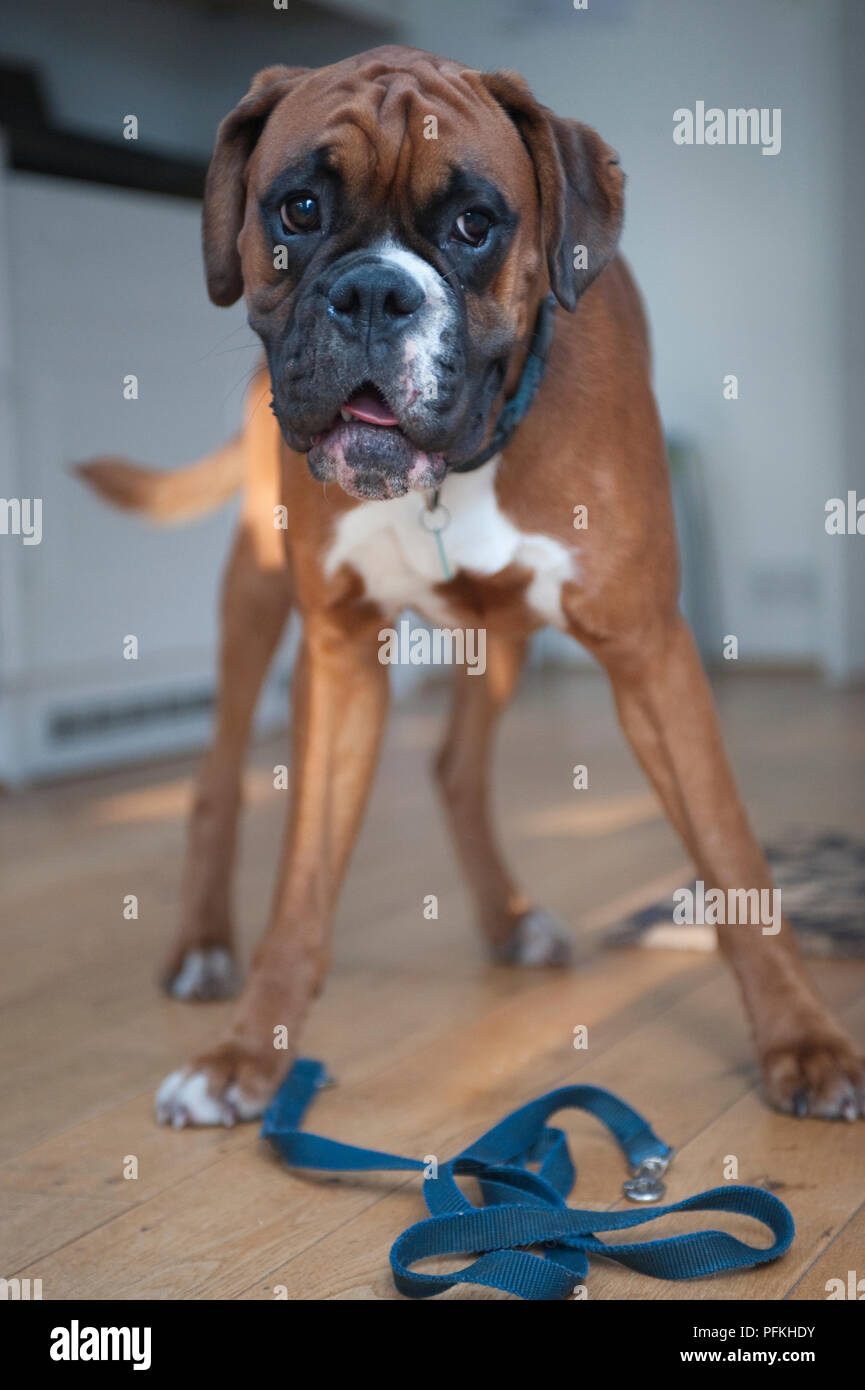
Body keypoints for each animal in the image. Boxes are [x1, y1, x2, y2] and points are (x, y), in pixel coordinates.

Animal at [81, 46, 865, 1128]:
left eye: (472, 225)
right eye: (298, 209)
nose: (374, 294)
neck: (456, 468)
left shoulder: (650, 653)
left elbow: (732, 856)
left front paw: (802, 1038)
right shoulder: (340, 654)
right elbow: (301, 884)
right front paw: (250, 1052)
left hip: (502, 636)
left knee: (455, 764)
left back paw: (508, 920)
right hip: (257, 591)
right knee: (216, 775)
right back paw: (202, 946)